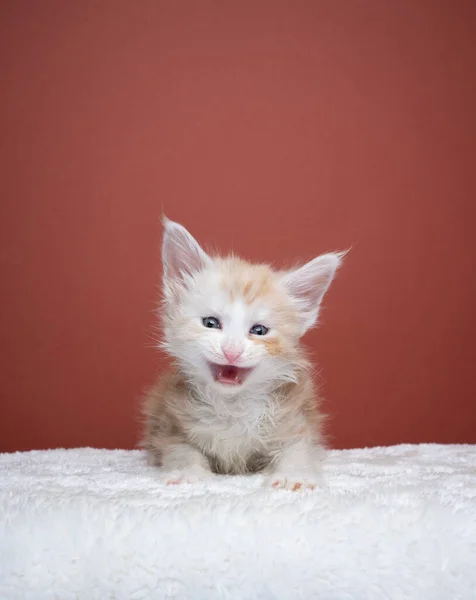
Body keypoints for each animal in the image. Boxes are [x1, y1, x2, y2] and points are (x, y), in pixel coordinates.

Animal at [141, 218, 346, 490]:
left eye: (259, 330)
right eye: (210, 323)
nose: (232, 351)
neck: (232, 405)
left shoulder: (297, 422)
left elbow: (298, 451)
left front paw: (294, 476)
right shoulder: (170, 425)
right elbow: (182, 451)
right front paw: (187, 473)